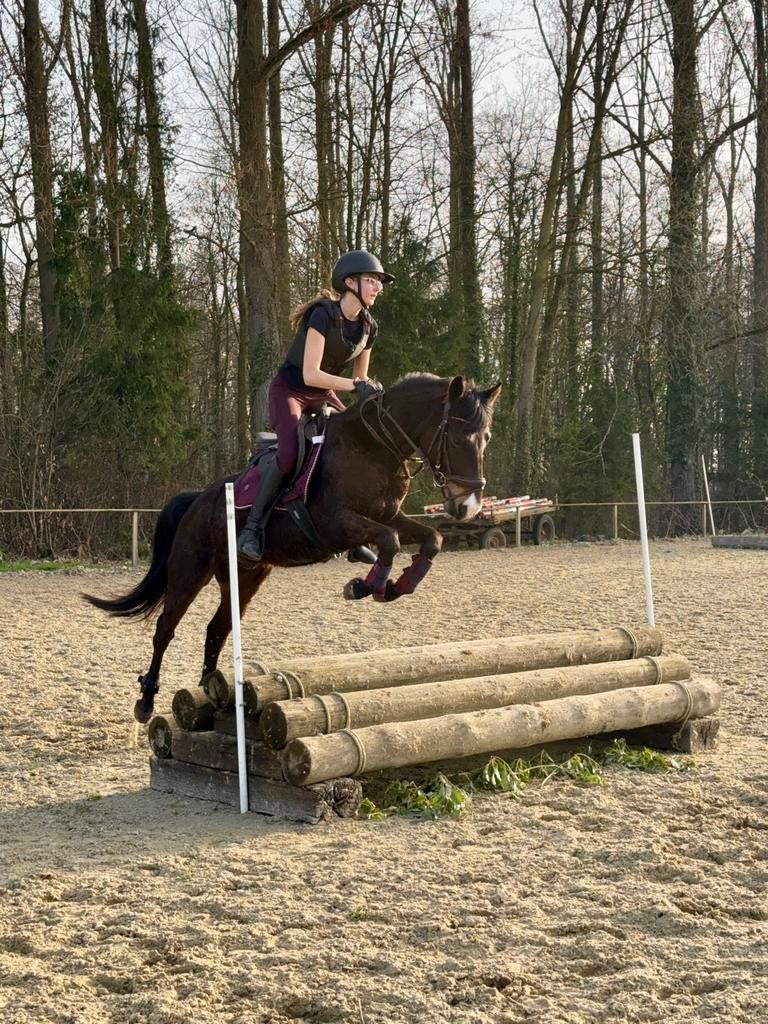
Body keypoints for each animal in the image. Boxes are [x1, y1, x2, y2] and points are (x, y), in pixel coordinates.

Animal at [84, 373, 501, 723]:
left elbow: (431, 539)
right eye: (458, 439)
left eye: (487, 440)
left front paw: (395, 586)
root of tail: (197, 499)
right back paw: (146, 701)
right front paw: (364, 586)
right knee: (165, 630)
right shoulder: (335, 524)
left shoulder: (390, 516)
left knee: (217, 630)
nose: (468, 506)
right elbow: (389, 541)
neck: (374, 447)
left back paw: (211, 691)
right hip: (190, 571)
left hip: (245, 576)